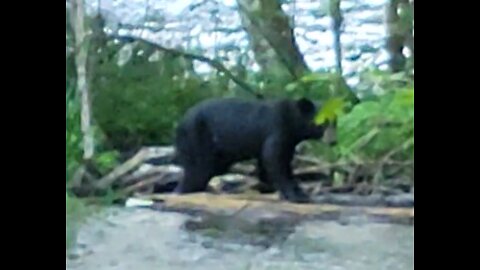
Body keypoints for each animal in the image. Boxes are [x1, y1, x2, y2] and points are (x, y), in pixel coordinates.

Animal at [172, 97, 334, 202]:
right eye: (322, 123)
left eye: (335, 122)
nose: (333, 141)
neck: (293, 122)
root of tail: (180, 122)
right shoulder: (277, 129)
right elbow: (274, 159)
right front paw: (297, 195)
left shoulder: (288, 141)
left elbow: (270, 161)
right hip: (196, 137)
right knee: (198, 169)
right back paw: (184, 190)